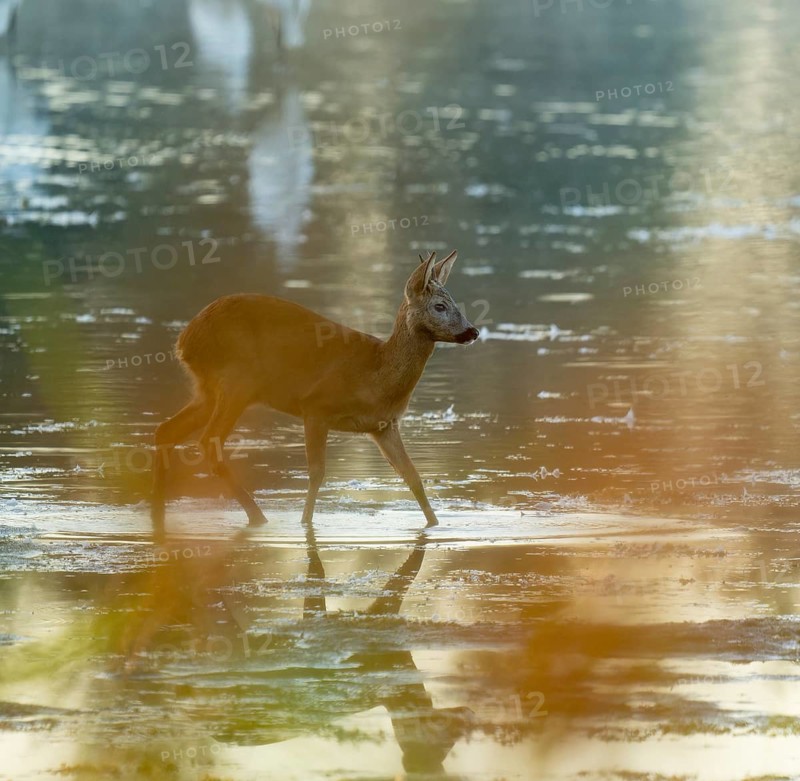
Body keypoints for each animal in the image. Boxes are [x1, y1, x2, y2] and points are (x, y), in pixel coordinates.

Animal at [150, 250, 479, 538]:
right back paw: (258, 517)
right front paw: (305, 524)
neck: (377, 375)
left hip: (208, 389)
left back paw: (157, 517)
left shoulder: (384, 425)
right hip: (236, 383)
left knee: (166, 430)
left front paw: (436, 524)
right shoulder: (315, 408)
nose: (473, 331)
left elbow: (413, 476)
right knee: (209, 441)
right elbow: (317, 473)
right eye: (440, 306)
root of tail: (185, 339)